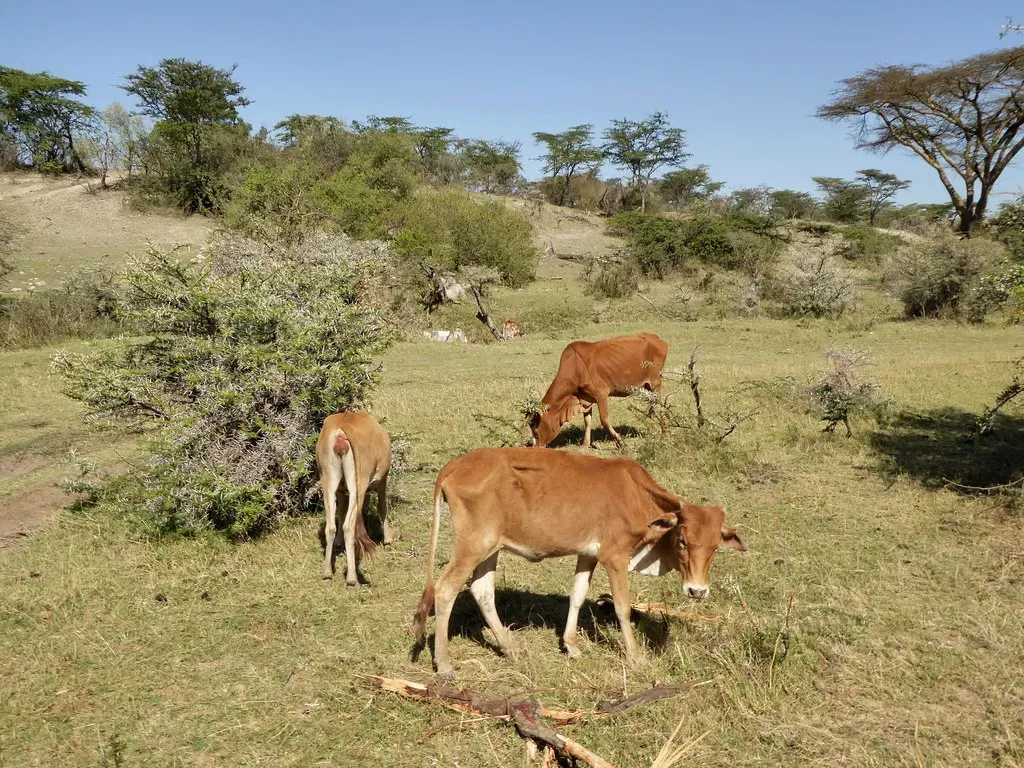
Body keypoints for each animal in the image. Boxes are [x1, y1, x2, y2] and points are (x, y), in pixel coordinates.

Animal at [315, 412, 393, 586]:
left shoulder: (341, 490)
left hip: (328, 479)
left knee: (331, 526)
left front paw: (339, 544)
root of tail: (340, 429)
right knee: (349, 526)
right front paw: (388, 540)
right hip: (358, 483)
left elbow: (341, 513)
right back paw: (352, 579)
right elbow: (382, 508)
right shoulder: (383, 479)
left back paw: (327, 573)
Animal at [411, 447, 745, 678]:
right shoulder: (614, 557)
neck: (636, 495)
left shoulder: (588, 554)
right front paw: (635, 657)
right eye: (683, 541)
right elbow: (623, 607)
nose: (697, 591)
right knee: (445, 590)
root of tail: (454, 465)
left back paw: (508, 646)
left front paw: (571, 645)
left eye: (715, 547)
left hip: (491, 547)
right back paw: (445, 664)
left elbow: (577, 595)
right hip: (474, 545)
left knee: (481, 591)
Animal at [530, 333, 668, 449]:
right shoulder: (585, 398)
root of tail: (657, 339)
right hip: (648, 387)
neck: (576, 368)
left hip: (655, 382)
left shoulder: (601, 394)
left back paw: (664, 434)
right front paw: (585, 445)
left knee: (661, 407)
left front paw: (620, 443)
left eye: (536, 432)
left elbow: (604, 420)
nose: (536, 449)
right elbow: (587, 421)